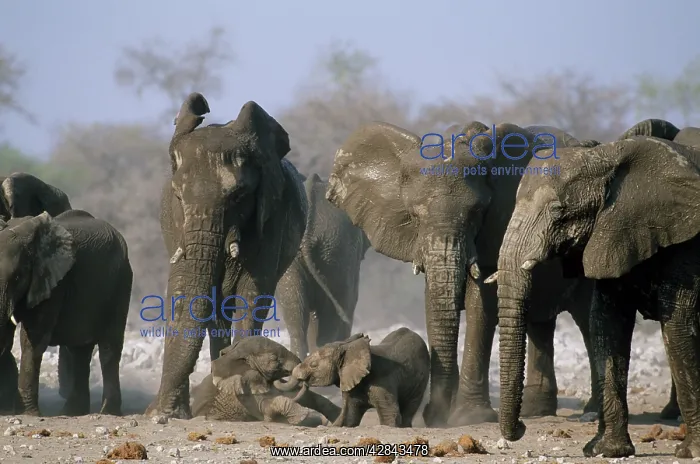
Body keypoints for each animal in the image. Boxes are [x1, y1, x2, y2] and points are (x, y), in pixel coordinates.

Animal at [0, 210, 132, 416]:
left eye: (17, 277)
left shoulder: (54, 283)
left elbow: (33, 339)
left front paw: (28, 414)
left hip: (121, 282)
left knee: (108, 349)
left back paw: (107, 413)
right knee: (80, 351)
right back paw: (73, 412)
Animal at [147, 92, 308, 419]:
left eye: (238, 196)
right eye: (178, 196)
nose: (158, 413)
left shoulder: (272, 215)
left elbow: (253, 293)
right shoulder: (175, 225)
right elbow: (183, 295)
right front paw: (169, 414)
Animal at [277, 328, 430, 428]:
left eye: (313, 365)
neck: (348, 347)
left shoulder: (383, 382)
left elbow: (390, 414)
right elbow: (350, 415)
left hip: (420, 381)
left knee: (410, 407)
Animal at [324, 121, 602, 427]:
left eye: (477, 212)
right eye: (414, 216)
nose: (432, 414)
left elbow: (481, 305)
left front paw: (470, 417)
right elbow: (433, 301)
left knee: (588, 321)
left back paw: (591, 410)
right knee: (540, 324)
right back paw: (536, 412)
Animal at [493, 136, 700, 458]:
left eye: (558, 210)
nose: (523, 428)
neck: (606, 156)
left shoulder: (686, 243)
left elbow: (678, 327)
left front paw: (690, 451)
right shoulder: (614, 234)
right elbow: (607, 324)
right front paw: (606, 450)